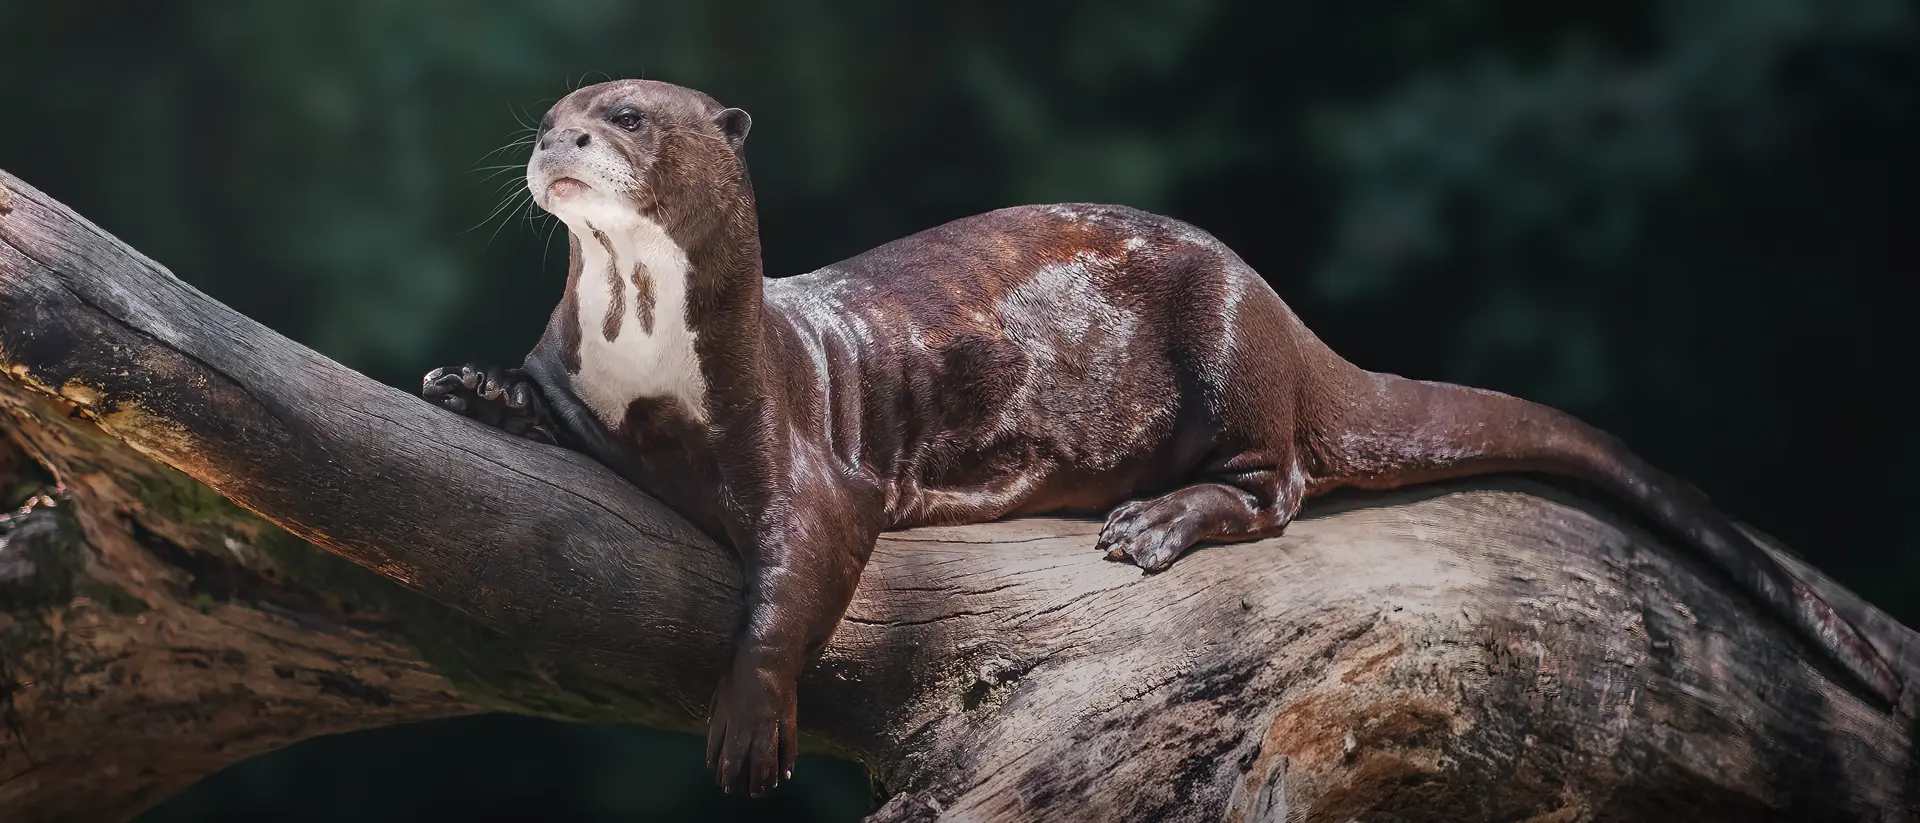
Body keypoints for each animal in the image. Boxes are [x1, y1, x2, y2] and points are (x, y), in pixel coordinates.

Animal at [423, 79, 1905, 797]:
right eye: (553, 112)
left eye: (623, 116)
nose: (554, 140)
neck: (645, 358)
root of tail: (1288, 310)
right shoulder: (580, 380)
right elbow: (536, 399)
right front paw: (465, 383)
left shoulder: (802, 453)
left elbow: (792, 578)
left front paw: (748, 723)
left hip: (1230, 351)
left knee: (1282, 481)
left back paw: (1151, 523)